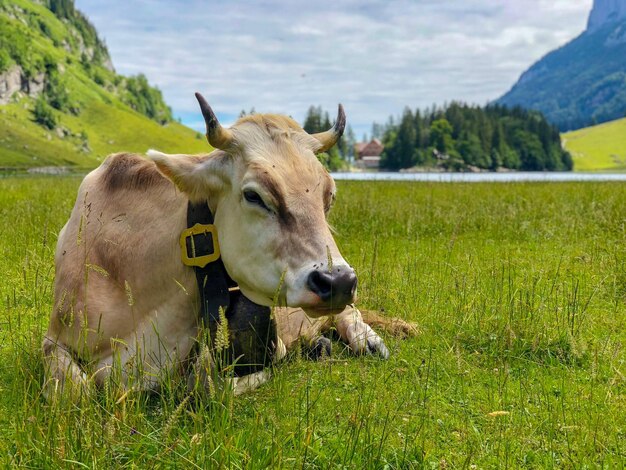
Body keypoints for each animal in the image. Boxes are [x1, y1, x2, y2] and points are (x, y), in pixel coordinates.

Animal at [44, 93, 414, 398]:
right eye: (254, 195)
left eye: (329, 196)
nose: (338, 281)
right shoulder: (54, 338)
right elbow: (74, 392)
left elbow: (211, 385)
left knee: (349, 313)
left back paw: (368, 341)